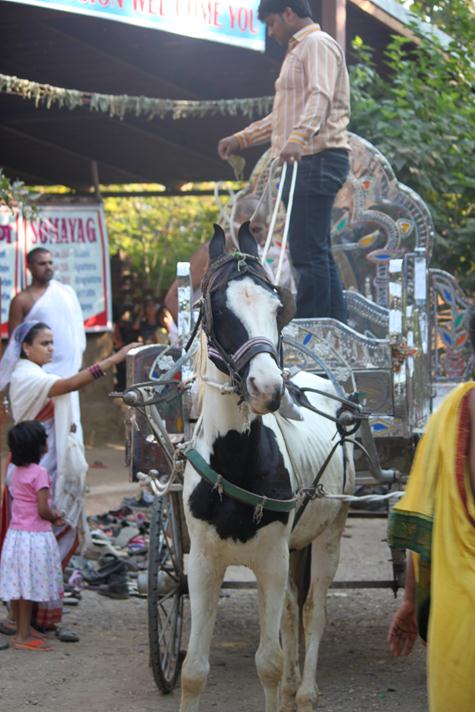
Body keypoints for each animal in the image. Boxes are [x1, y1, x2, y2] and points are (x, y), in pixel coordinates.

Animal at [180, 222, 355, 712]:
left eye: (279, 308)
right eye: (218, 309)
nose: (268, 388)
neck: (236, 462)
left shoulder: (271, 561)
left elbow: (269, 664)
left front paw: (286, 683)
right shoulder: (203, 564)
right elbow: (193, 671)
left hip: (330, 529)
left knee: (313, 610)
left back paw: (306, 690)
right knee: (294, 609)